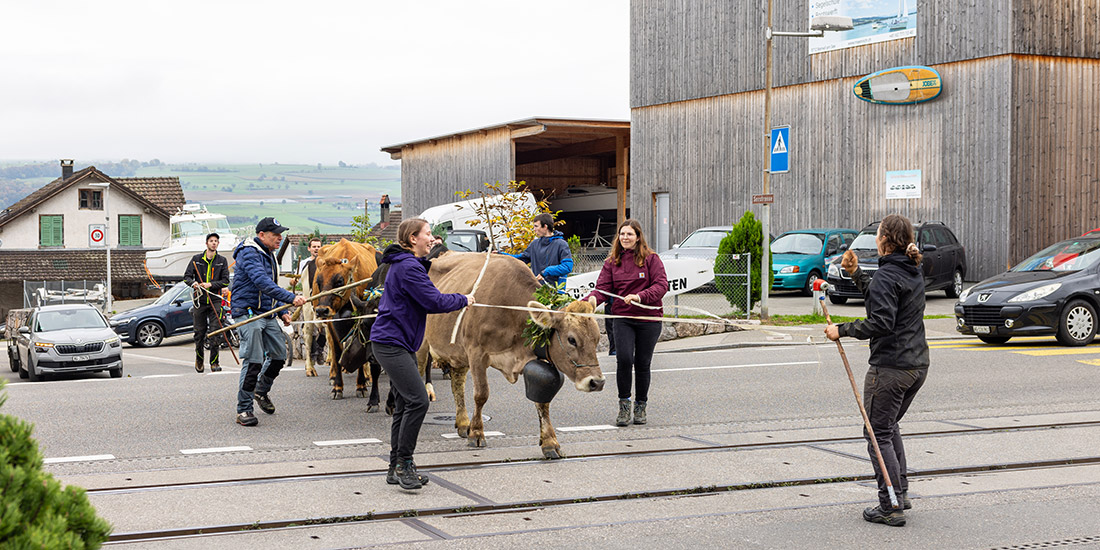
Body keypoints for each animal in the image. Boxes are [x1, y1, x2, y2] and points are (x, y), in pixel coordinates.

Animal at [312, 238, 380, 398]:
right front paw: (337, 387)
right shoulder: (331, 323)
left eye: (339, 281)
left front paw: (361, 385)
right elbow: (337, 353)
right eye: (318, 282)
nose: (321, 310)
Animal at [415, 253, 607, 459]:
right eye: (572, 340)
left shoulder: (535, 357)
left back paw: (463, 422)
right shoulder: (476, 352)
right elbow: (481, 394)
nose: (597, 382)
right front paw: (477, 433)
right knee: (419, 372)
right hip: (422, 345)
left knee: (457, 384)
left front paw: (550, 442)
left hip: (458, 352)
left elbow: (542, 400)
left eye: (596, 338)